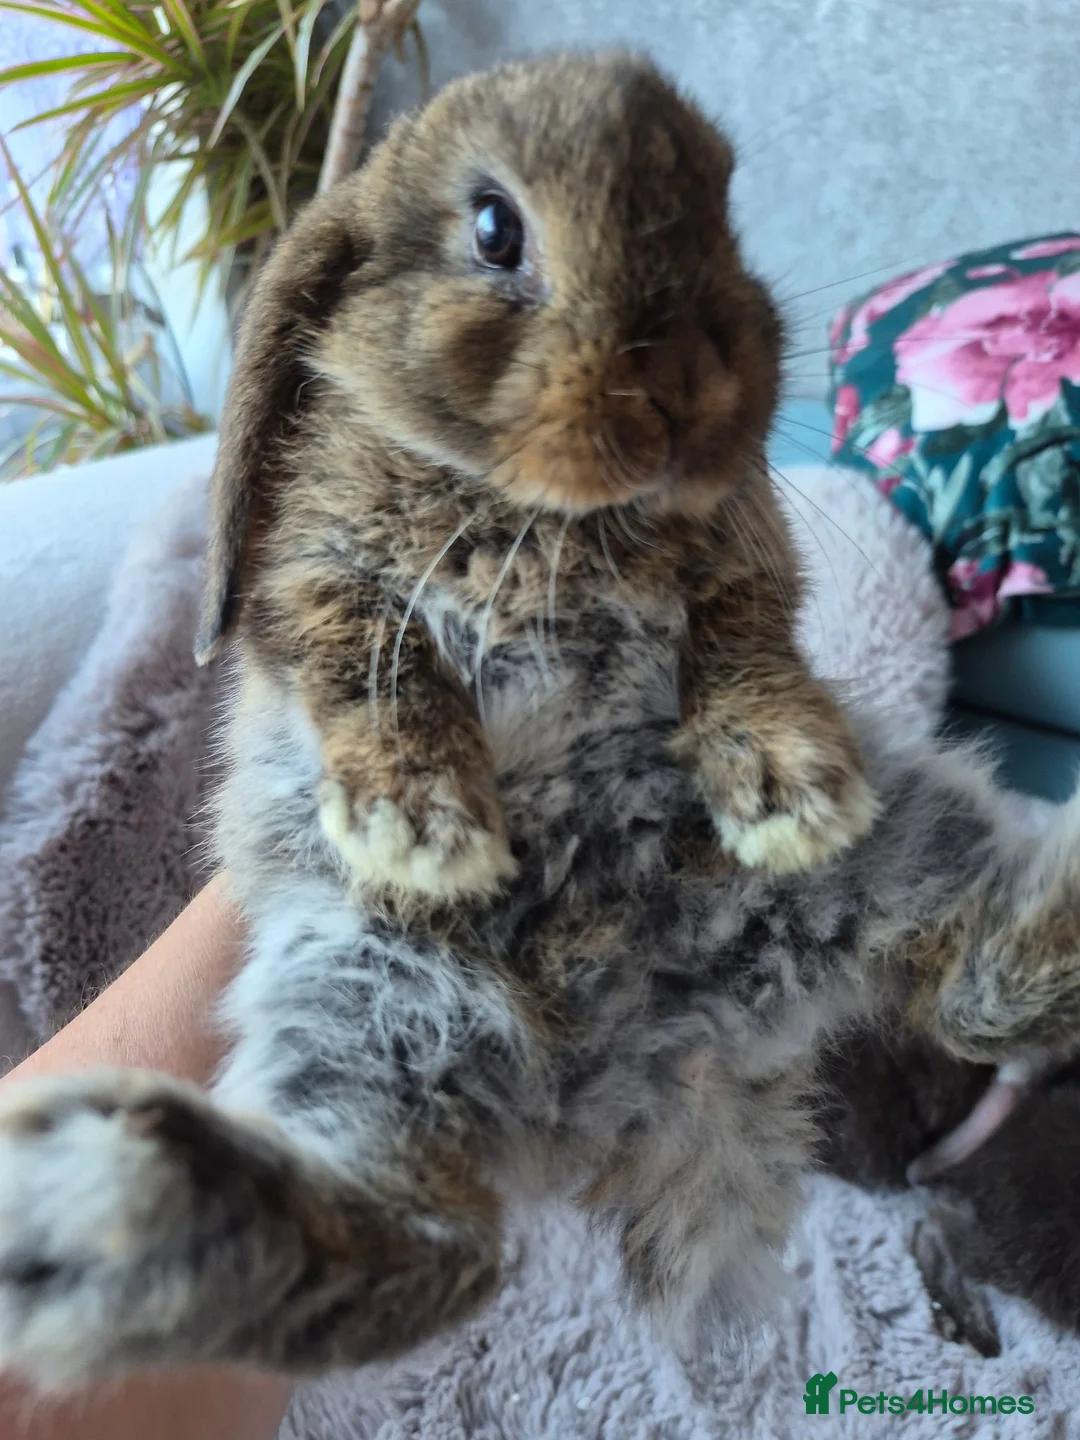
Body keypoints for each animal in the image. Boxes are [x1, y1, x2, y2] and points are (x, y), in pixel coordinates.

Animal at [1, 50, 1079, 1394]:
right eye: (493, 228)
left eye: (724, 206)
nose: (689, 388)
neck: (543, 506)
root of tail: (659, 1056)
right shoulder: (316, 581)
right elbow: (369, 666)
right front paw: (425, 831)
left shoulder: (739, 566)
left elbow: (746, 647)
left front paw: (795, 786)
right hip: (383, 1003)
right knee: (431, 1245)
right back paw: (104, 1210)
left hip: (896, 868)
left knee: (982, 988)